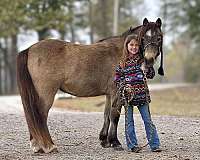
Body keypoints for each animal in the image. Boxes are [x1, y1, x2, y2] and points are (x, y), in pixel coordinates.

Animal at [16, 18, 164, 153]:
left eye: (159, 38)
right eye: (143, 38)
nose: (149, 63)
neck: (122, 52)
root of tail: (30, 49)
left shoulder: (109, 94)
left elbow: (106, 115)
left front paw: (104, 140)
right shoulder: (116, 92)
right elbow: (114, 115)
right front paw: (115, 142)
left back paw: (37, 146)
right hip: (46, 93)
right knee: (40, 114)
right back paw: (48, 146)